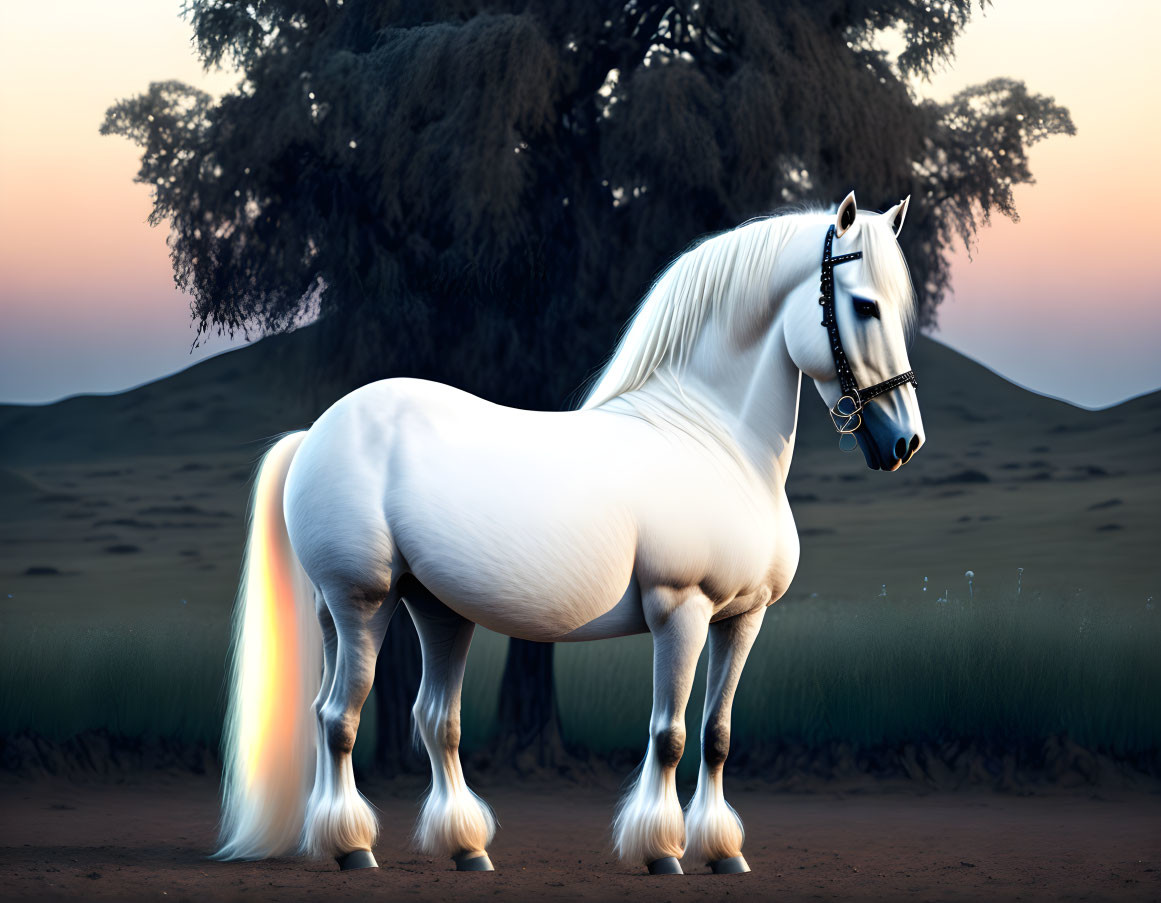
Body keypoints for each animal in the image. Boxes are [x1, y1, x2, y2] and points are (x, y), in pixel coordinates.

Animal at [213, 191, 924, 872]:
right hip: (363, 601)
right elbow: (669, 735)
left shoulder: (743, 618)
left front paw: (725, 854)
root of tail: (317, 431)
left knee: (430, 721)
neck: (713, 438)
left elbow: (717, 736)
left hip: (429, 610)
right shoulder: (682, 610)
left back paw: (466, 850)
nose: (904, 442)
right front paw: (662, 852)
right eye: (864, 306)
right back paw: (353, 849)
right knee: (341, 718)